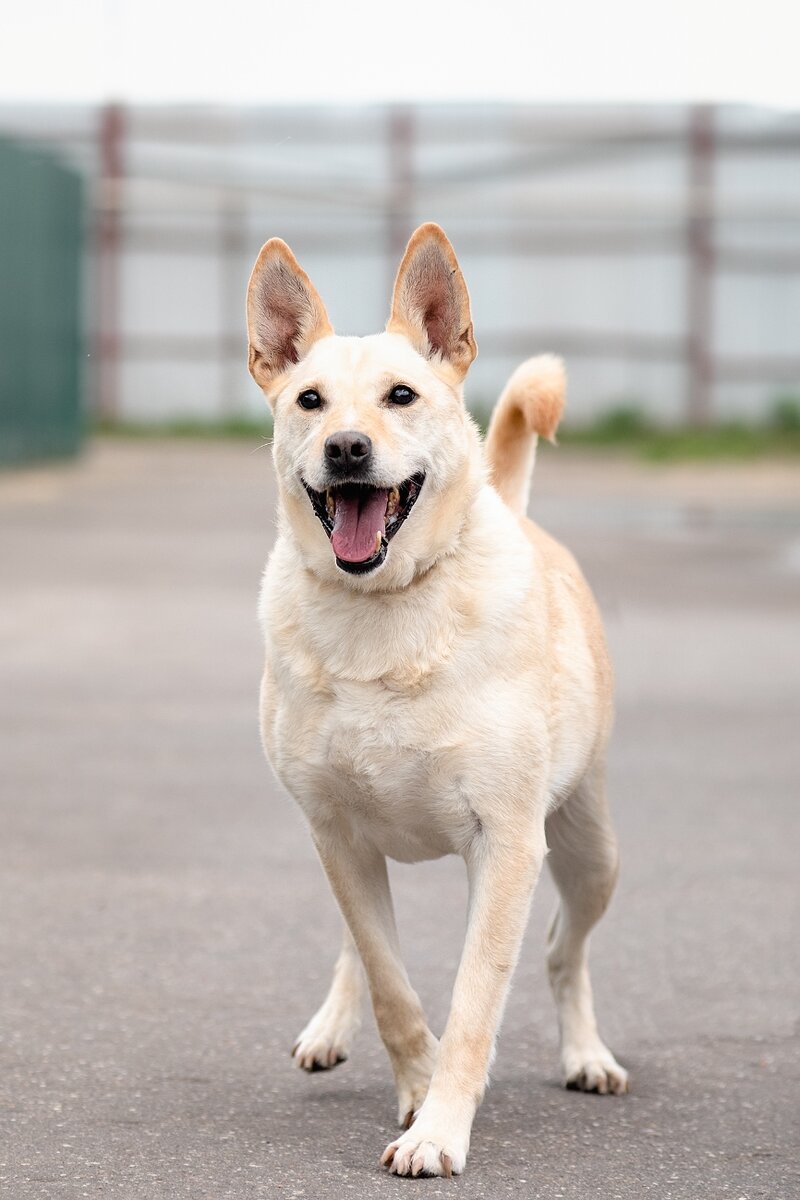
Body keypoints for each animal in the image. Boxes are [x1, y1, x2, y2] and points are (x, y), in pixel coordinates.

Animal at [247, 220, 628, 1176]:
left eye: (402, 395)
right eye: (309, 400)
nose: (346, 448)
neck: (386, 608)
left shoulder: (507, 845)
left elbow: (473, 1003)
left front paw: (439, 1128)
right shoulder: (336, 836)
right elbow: (390, 982)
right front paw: (416, 1089)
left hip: (588, 851)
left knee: (564, 950)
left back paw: (587, 1055)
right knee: (359, 946)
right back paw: (330, 1026)